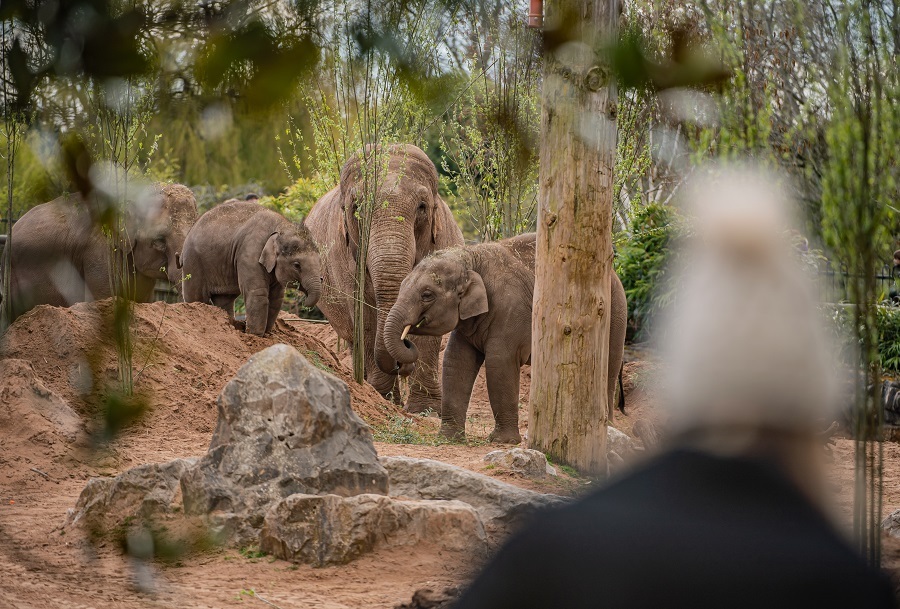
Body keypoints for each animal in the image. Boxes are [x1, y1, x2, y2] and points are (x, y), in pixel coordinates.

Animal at [179, 200, 320, 334]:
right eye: (297, 265)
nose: (304, 302)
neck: (280, 226)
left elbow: (276, 298)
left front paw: (267, 334)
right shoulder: (250, 253)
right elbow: (257, 293)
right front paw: (255, 335)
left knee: (224, 299)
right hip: (192, 261)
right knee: (197, 297)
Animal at [308, 142, 464, 410]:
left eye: (422, 207)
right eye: (356, 208)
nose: (402, 365)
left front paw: (427, 411)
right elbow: (365, 315)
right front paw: (382, 398)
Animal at [382, 233, 624, 442]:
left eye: (427, 295)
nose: (406, 340)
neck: (471, 257)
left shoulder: (511, 310)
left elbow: (500, 363)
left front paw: (502, 441)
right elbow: (456, 362)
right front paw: (448, 439)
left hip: (613, 313)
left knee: (607, 369)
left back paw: (608, 428)